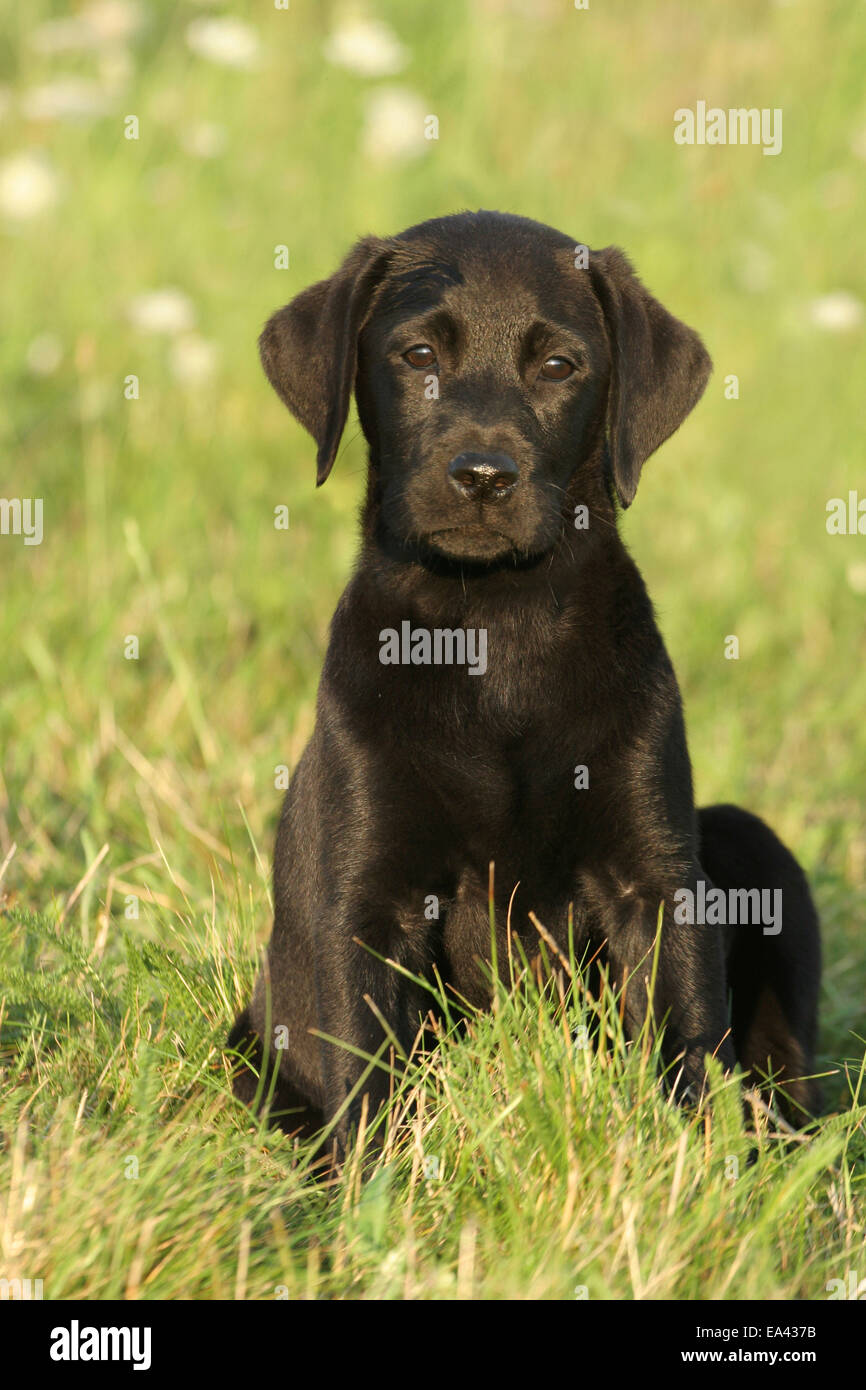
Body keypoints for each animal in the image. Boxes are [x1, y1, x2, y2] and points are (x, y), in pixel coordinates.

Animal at [226, 211, 822, 1145]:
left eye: (558, 367)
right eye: (418, 356)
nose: (482, 475)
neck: (493, 627)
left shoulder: (657, 883)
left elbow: (686, 1045)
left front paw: (685, 1168)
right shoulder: (367, 901)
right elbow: (369, 1080)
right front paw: (371, 1184)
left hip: (753, 845)